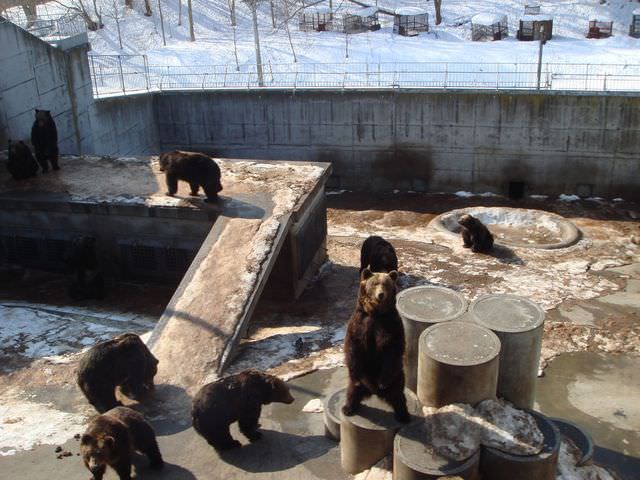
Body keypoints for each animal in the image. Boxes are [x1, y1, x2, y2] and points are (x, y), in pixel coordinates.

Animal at [340, 268, 410, 422]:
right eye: (375, 284)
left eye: (386, 284)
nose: (381, 294)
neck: (375, 313)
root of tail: (372, 390)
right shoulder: (359, 323)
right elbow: (352, 346)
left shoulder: (391, 324)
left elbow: (392, 350)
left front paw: (383, 382)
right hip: (361, 377)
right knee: (352, 391)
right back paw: (348, 408)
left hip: (397, 377)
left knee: (398, 395)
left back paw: (403, 415)